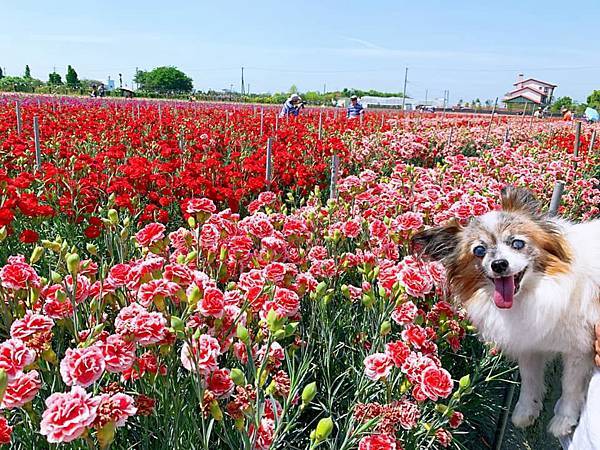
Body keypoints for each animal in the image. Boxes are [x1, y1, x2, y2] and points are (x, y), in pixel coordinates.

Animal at [412, 185, 600, 436]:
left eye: (517, 244)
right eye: (479, 250)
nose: (499, 264)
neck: (536, 292)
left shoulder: (580, 348)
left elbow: (570, 386)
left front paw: (563, 420)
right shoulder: (530, 343)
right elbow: (529, 379)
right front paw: (526, 411)